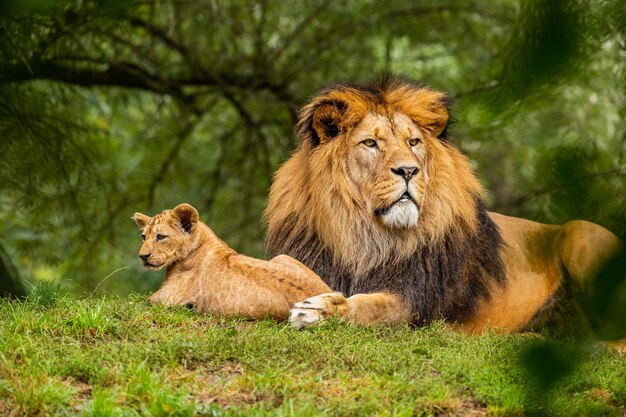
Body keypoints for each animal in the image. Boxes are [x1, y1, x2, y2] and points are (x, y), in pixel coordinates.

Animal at [264, 75, 620, 334]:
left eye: (413, 142)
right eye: (370, 143)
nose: (409, 170)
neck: (365, 235)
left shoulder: (417, 300)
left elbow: (372, 307)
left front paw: (319, 310)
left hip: (581, 233)